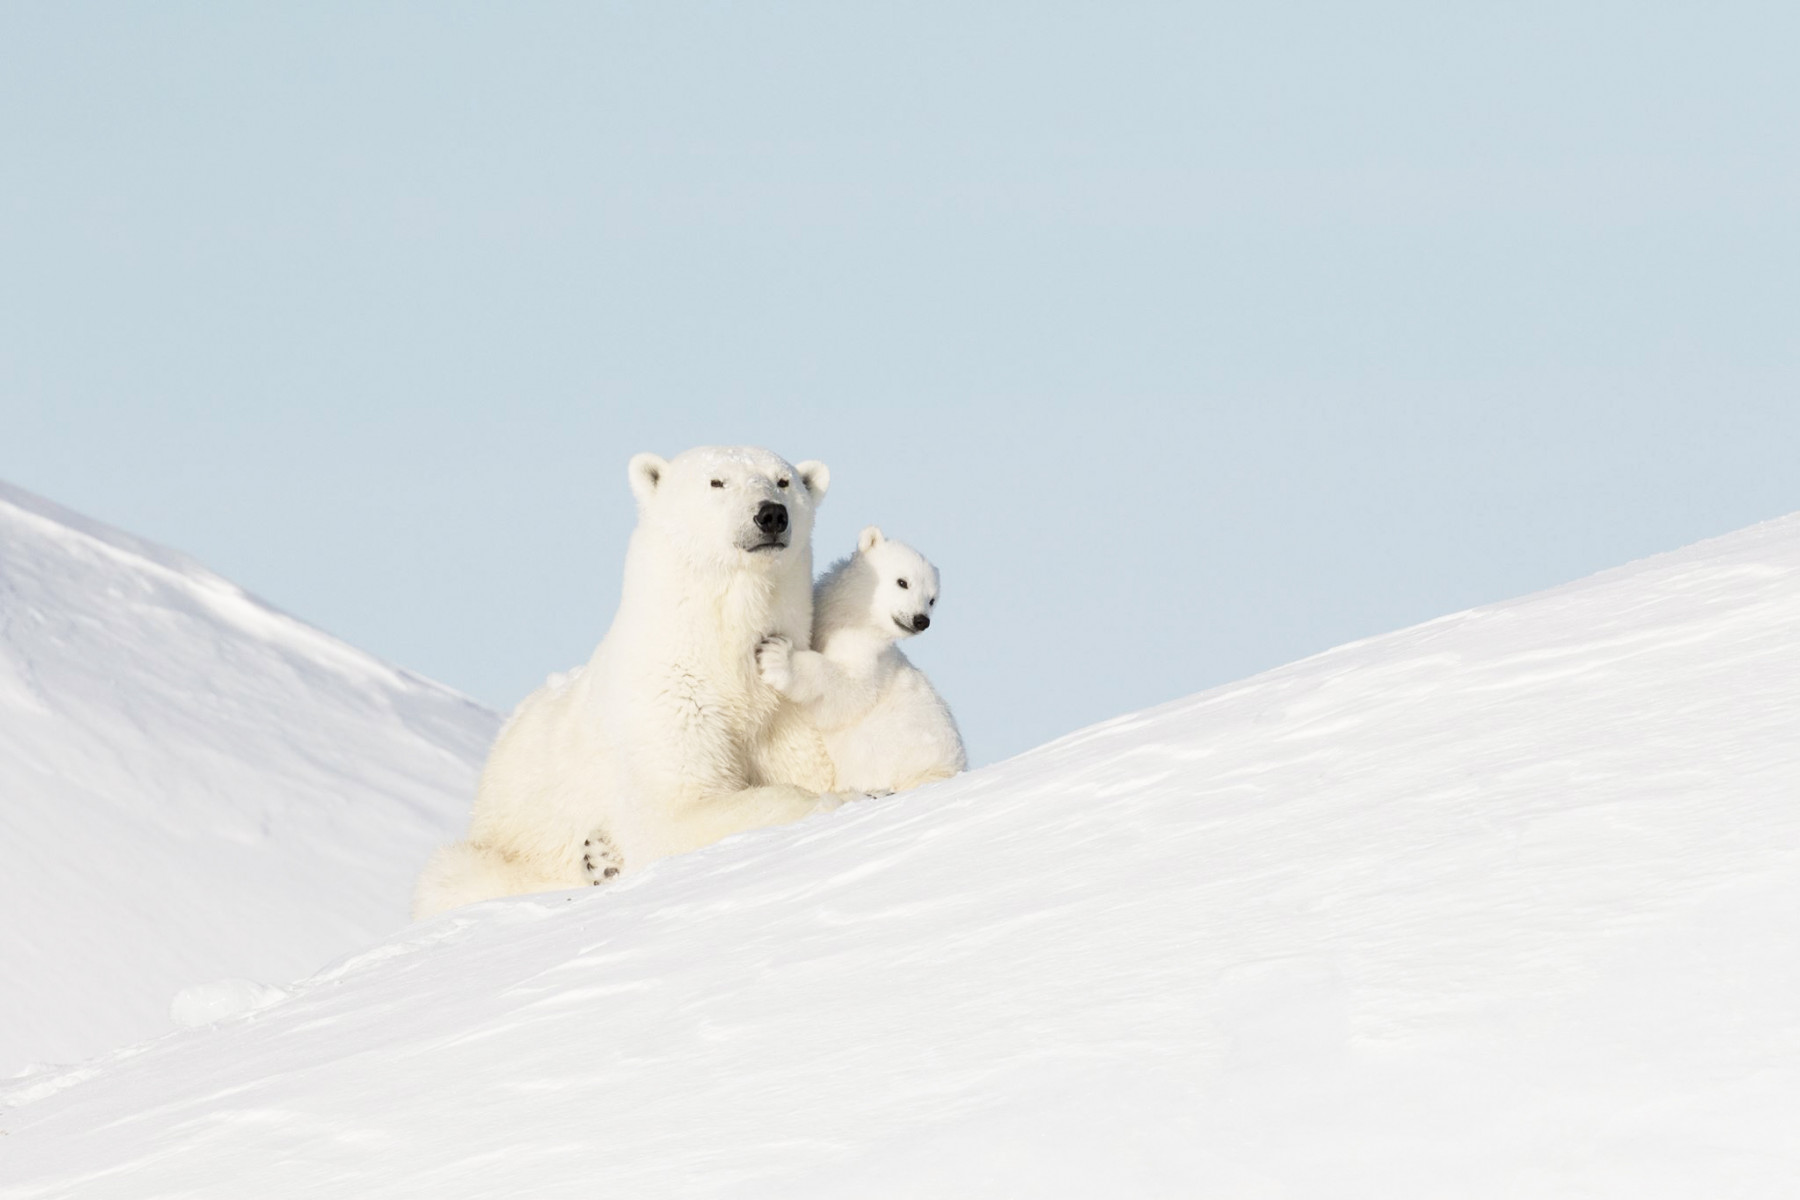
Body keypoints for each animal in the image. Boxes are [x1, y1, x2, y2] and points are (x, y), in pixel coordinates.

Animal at [414, 444, 842, 921]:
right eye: (717, 481)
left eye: (784, 481)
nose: (770, 514)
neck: (722, 660)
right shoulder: (670, 701)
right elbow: (675, 812)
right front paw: (836, 801)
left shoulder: (786, 714)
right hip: (502, 845)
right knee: (455, 874)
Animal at [752, 528, 964, 798]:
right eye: (903, 581)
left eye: (932, 599)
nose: (921, 620)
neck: (851, 619)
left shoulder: (871, 662)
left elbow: (848, 693)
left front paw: (777, 656)